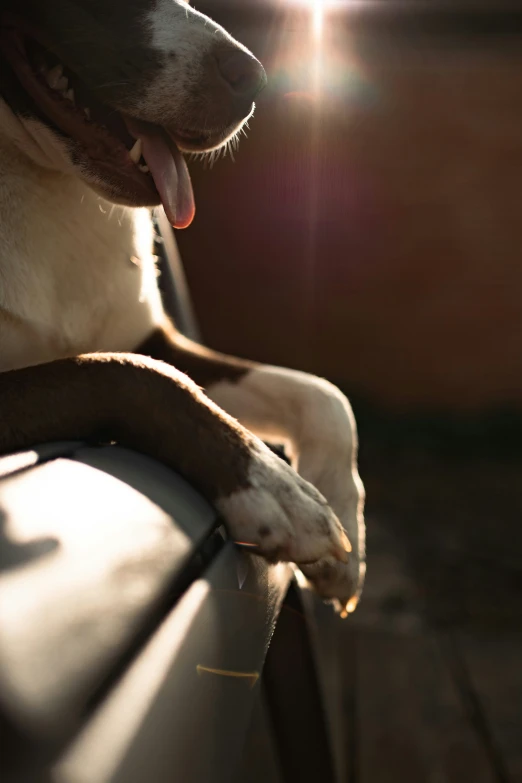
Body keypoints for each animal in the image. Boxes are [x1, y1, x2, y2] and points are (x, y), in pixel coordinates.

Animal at [0, 0, 364, 612]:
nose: (252, 81)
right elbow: (133, 375)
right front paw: (270, 487)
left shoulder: (149, 335)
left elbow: (323, 395)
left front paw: (340, 519)